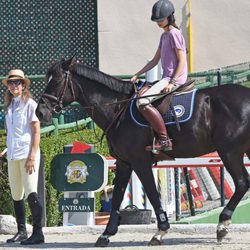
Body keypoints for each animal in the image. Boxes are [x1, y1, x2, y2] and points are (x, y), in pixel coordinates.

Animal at [35, 58, 250, 246]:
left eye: (57, 81)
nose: (40, 112)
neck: (118, 109)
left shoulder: (140, 161)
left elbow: (153, 194)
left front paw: (160, 232)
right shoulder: (124, 163)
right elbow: (117, 196)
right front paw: (106, 234)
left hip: (229, 152)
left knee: (242, 182)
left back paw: (222, 225)